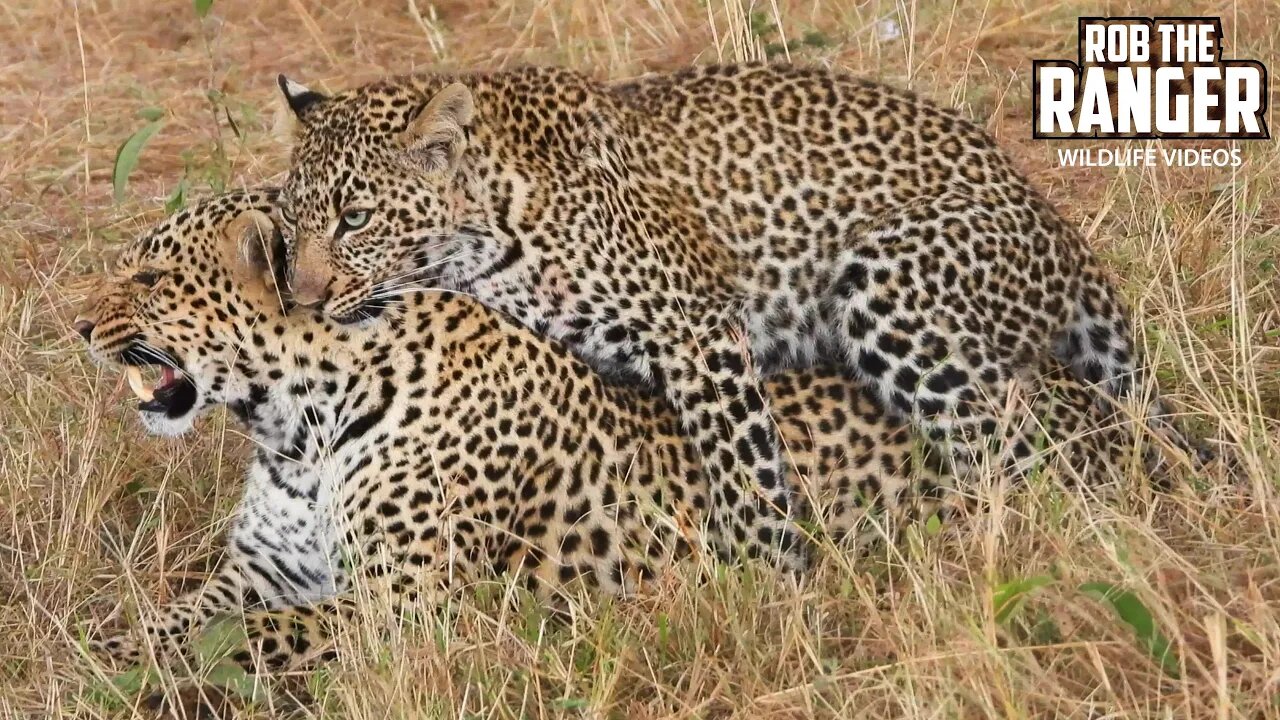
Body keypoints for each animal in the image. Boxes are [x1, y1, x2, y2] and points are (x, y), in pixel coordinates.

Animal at [74, 190, 1146, 671]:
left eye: (152, 278)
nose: (76, 325)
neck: (295, 432)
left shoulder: (409, 611)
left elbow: (256, 635)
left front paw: (133, 667)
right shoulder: (255, 570)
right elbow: (180, 614)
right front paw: (104, 645)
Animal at [272, 64, 1208, 573]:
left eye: (355, 219)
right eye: (290, 225)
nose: (303, 299)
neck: (489, 228)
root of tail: (1055, 224)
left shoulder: (699, 331)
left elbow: (745, 471)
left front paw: (773, 586)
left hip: (890, 286)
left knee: (1023, 448)